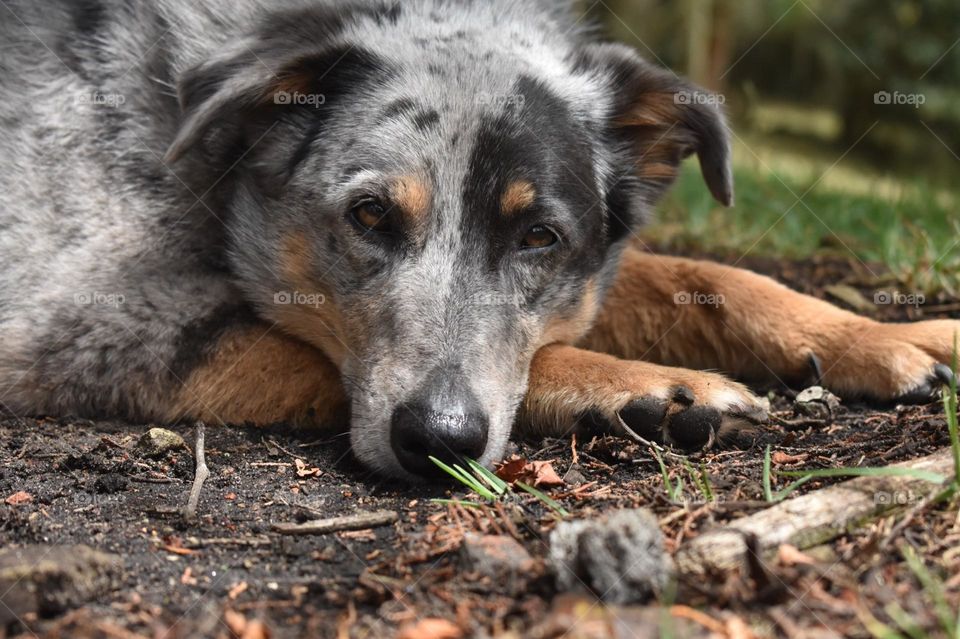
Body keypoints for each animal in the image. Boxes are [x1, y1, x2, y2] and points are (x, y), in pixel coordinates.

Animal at [0, 0, 956, 480]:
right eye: (370, 215)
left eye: (539, 234)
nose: (440, 440)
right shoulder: (93, 323)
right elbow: (307, 352)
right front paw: (645, 388)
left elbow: (710, 276)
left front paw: (888, 335)